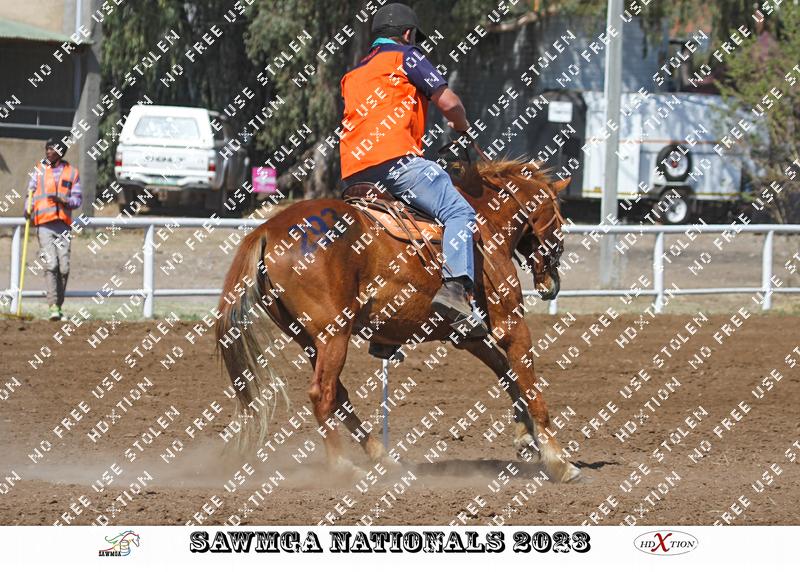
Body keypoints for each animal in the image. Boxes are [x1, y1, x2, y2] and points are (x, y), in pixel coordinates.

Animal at [214, 157, 584, 484]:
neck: (485, 224)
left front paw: (525, 438)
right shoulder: (511, 324)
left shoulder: (467, 335)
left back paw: (383, 456)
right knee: (323, 394)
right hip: (334, 334)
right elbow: (530, 386)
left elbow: (507, 374)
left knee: (339, 395)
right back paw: (344, 467)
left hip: (309, 340)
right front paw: (559, 461)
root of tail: (266, 230)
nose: (552, 282)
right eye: (559, 215)